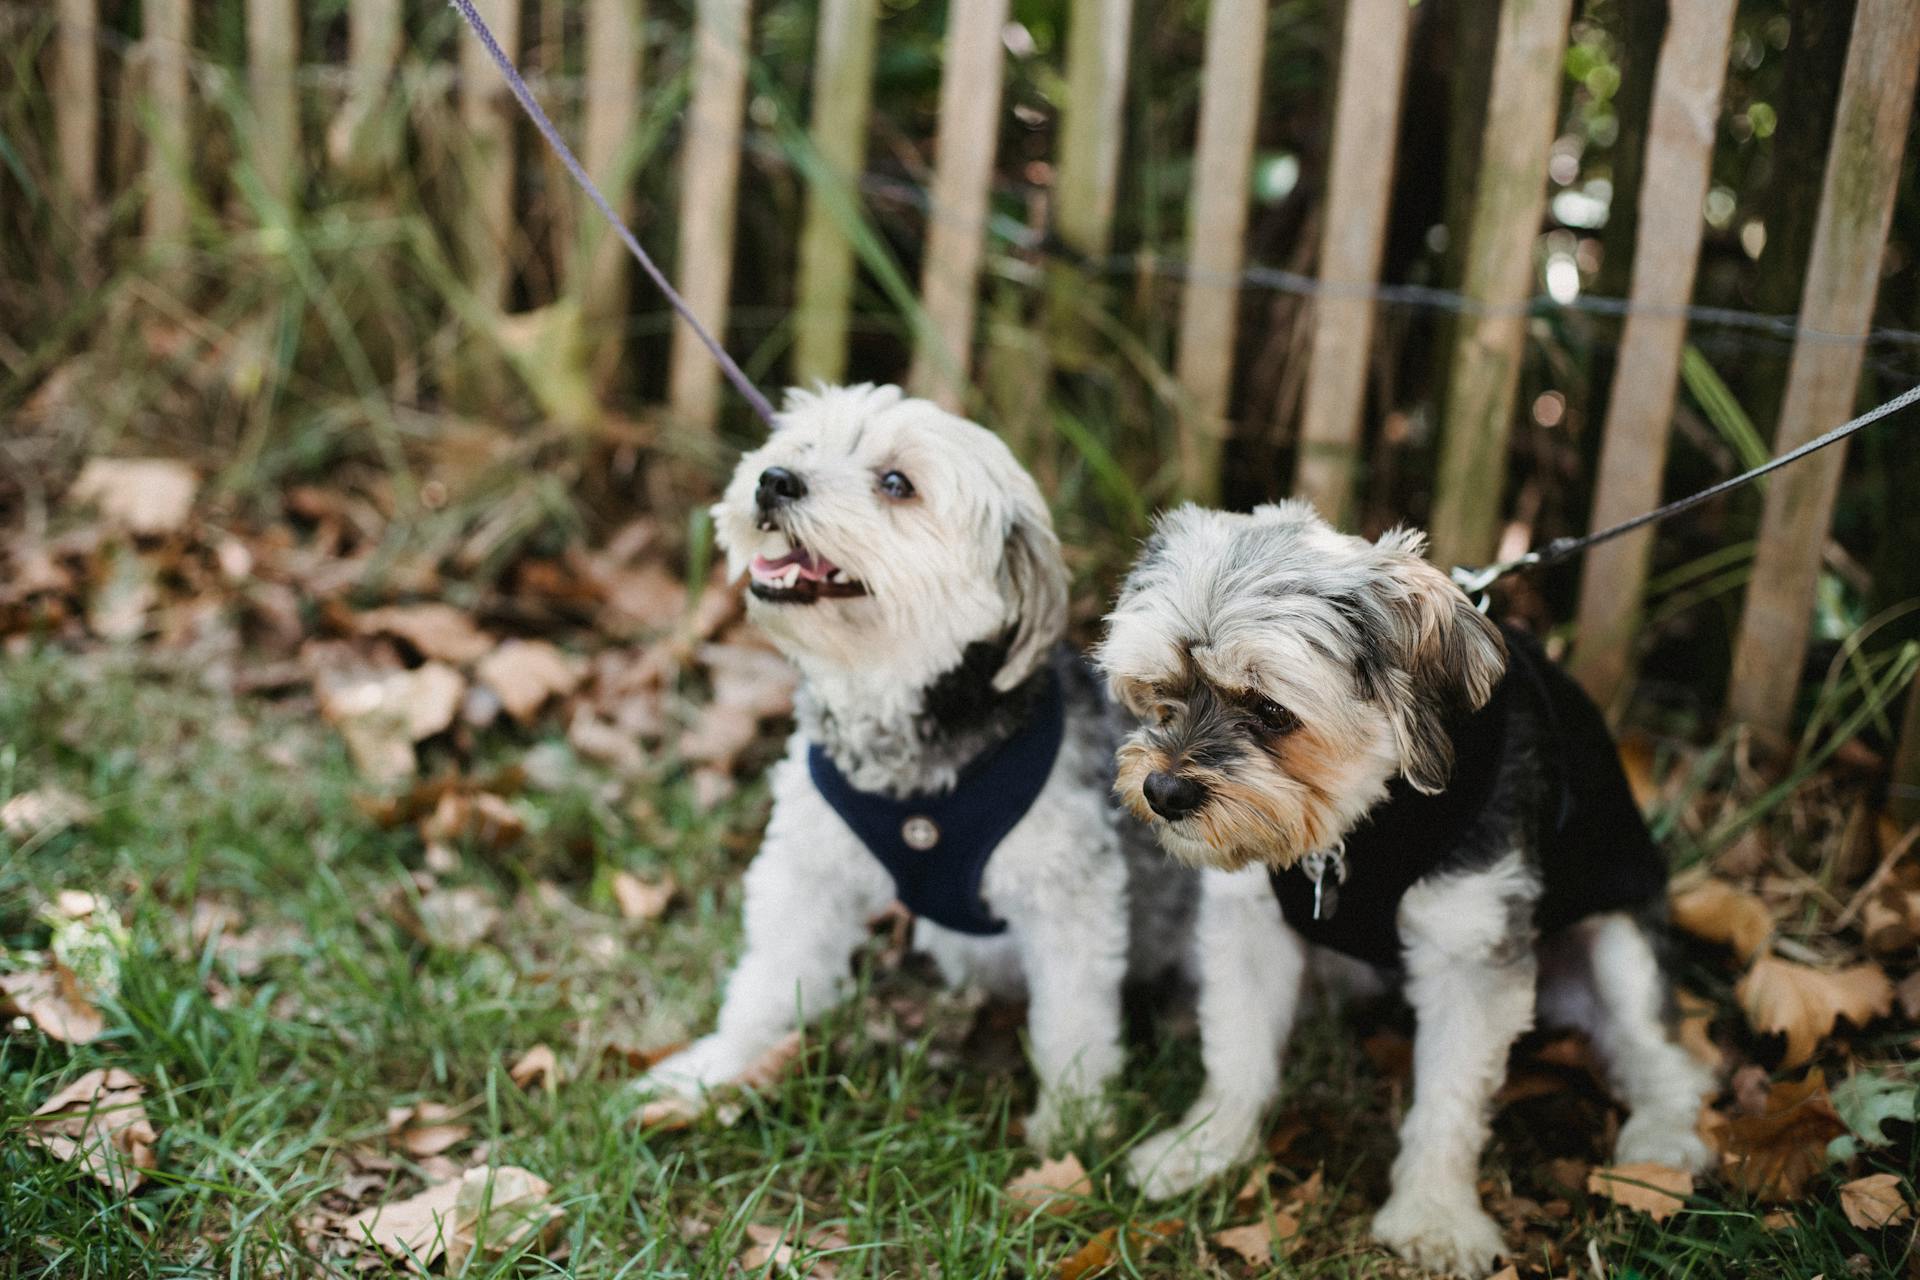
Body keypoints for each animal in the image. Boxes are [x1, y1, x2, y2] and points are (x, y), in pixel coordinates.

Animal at [637, 385, 1190, 1143]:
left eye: (897, 483)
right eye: (801, 445)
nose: (774, 480)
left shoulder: (1068, 898)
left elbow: (1073, 1023)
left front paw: (1071, 1128)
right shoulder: (805, 873)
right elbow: (768, 981)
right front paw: (716, 1069)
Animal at [1098, 502, 1712, 1280]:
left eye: (1272, 711)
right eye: (1159, 687)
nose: (1164, 791)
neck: (1357, 823)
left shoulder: (1470, 952)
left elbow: (1449, 1098)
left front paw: (1436, 1219)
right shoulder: (1250, 926)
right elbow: (1236, 1048)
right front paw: (1205, 1148)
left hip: (1618, 939)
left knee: (1663, 1053)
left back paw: (1661, 1146)